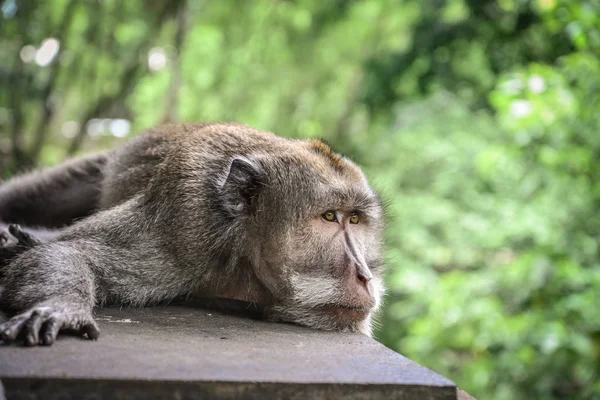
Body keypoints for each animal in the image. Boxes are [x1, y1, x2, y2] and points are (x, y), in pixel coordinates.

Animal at [0, 121, 384, 344]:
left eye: (354, 220)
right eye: (330, 216)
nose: (365, 275)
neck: (241, 252)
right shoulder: (184, 221)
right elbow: (74, 252)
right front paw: (62, 308)